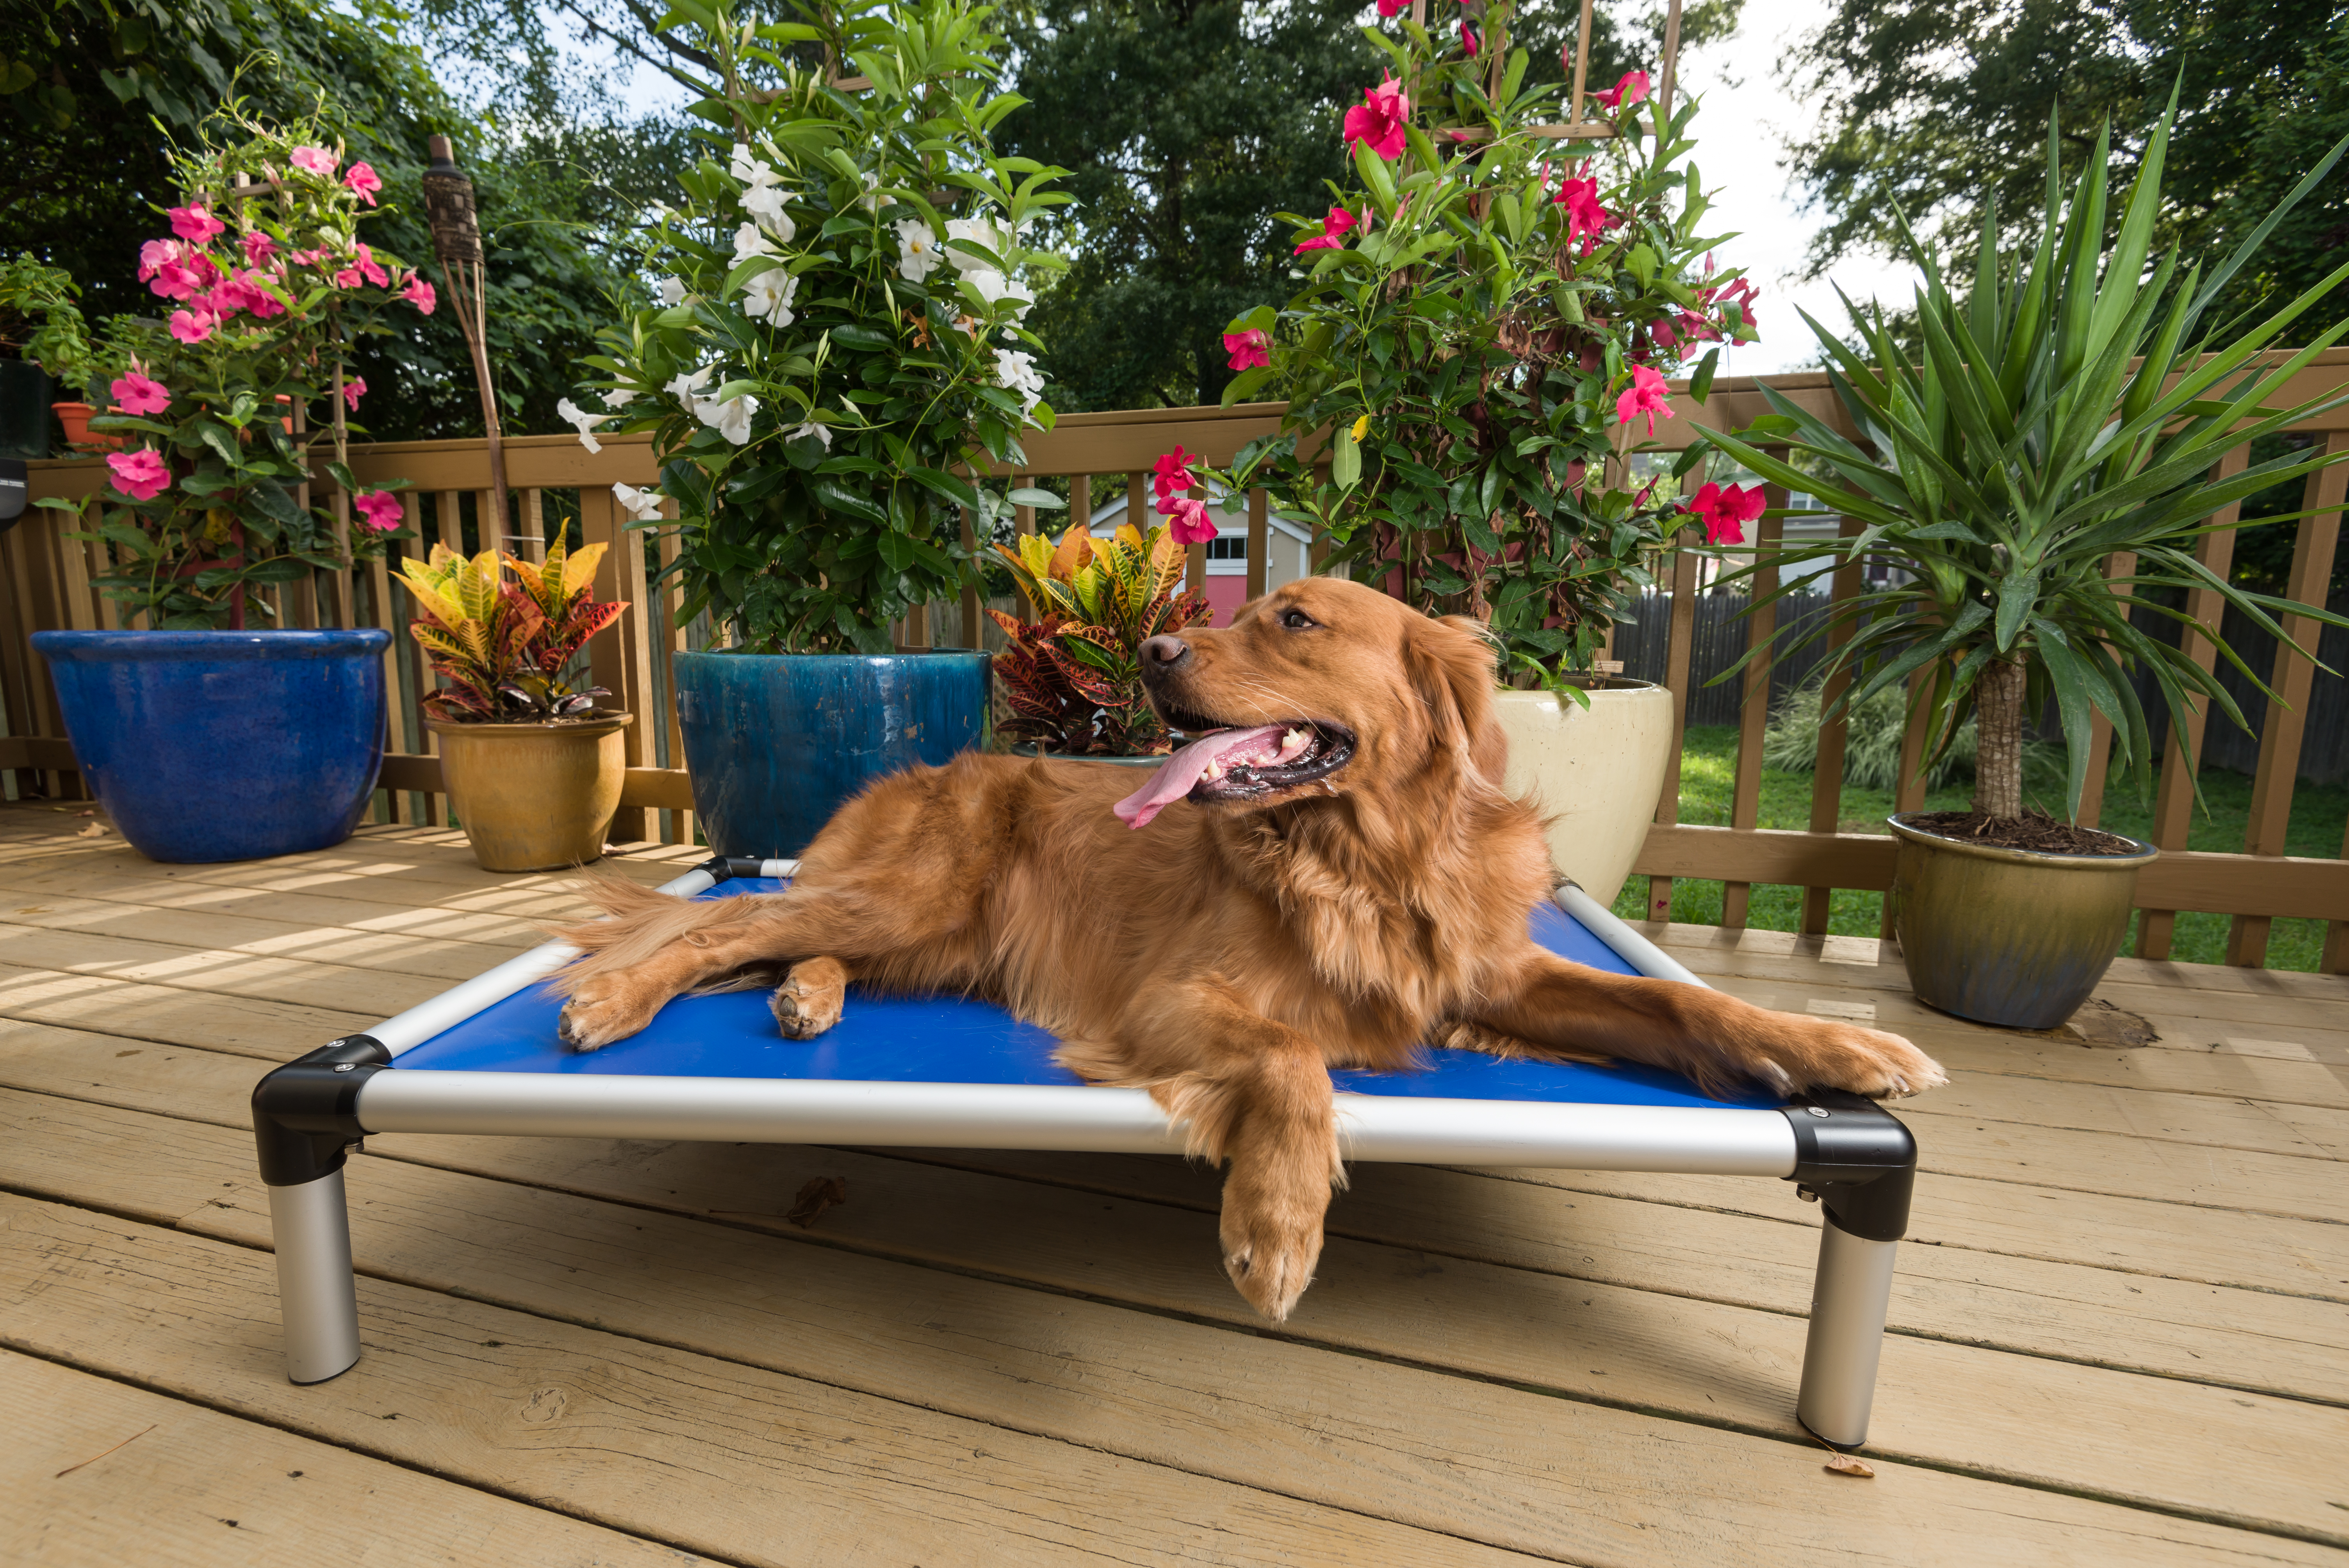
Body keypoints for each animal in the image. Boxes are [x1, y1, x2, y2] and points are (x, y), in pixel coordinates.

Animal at [549, 572, 1945, 1314]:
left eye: (1299, 621)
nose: (1152, 648)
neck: (1366, 856)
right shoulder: (1167, 998)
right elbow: (1295, 1060)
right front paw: (1275, 1228)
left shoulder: (1496, 975)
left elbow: (1684, 1008)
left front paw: (1835, 1047)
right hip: (911, 901)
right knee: (728, 918)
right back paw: (613, 1000)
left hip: (930, 935)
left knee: (777, 942)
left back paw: (807, 1001)